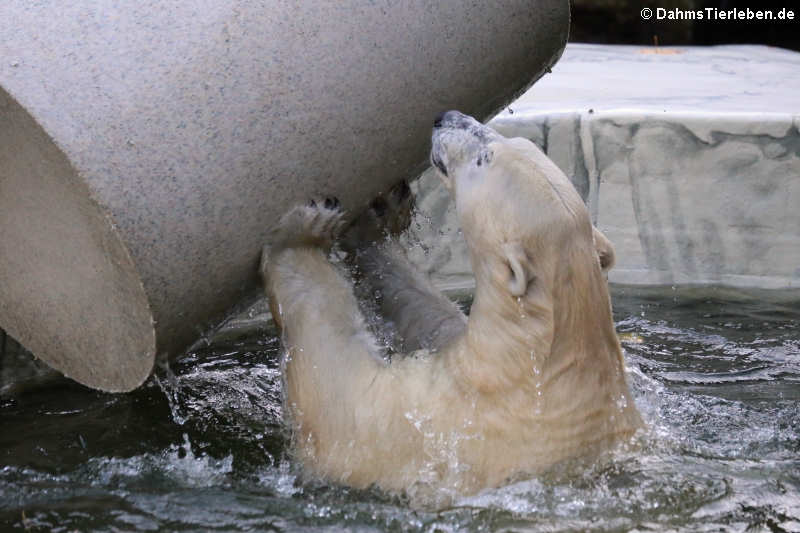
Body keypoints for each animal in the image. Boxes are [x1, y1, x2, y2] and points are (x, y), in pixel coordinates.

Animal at [262, 110, 644, 500]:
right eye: (513, 142)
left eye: (484, 159)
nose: (447, 117)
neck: (530, 360)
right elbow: (428, 317)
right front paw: (379, 216)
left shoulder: (443, 428)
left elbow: (342, 397)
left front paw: (302, 232)